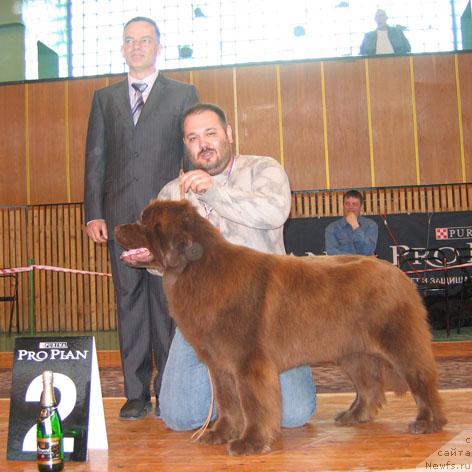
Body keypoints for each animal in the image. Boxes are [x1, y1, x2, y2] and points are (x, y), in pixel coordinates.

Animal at [114, 198, 446, 454]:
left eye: (144, 223)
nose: (116, 227)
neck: (198, 270)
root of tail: (400, 275)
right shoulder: (220, 366)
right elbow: (227, 402)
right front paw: (220, 434)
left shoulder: (248, 362)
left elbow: (253, 403)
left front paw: (250, 442)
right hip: (352, 353)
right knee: (369, 387)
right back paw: (354, 416)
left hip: (398, 343)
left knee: (421, 380)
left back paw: (429, 422)